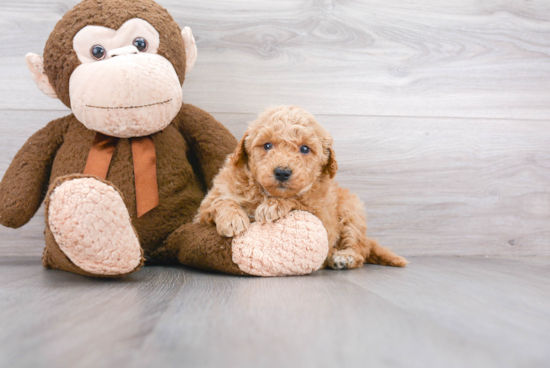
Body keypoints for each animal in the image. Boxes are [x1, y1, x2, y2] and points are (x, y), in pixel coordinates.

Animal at [196, 105, 408, 268]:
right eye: (267, 145)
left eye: (305, 148)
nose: (282, 172)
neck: (265, 192)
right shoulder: (204, 210)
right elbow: (220, 203)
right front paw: (233, 219)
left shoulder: (323, 219)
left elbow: (298, 202)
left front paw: (273, 206)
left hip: (351, 211)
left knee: (360, 247)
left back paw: (344, 257)